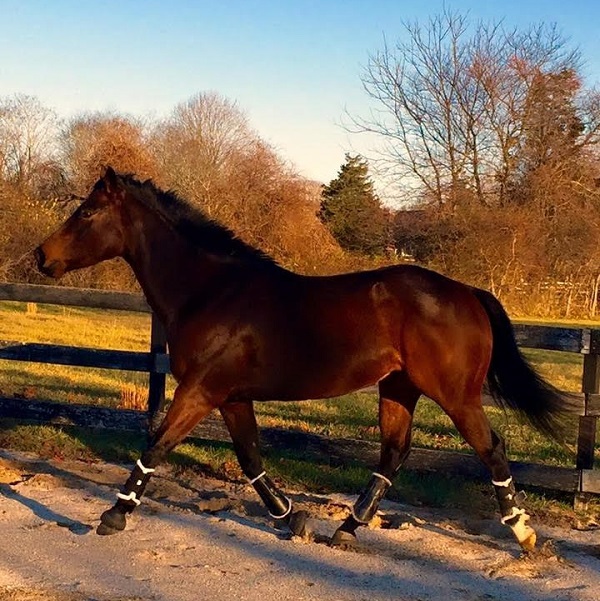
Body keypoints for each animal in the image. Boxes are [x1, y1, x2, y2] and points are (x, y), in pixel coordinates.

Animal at [34, 166, 572, 552]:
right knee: (394, 453)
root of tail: (467, 293)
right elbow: (250, 457)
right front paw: (293, 518)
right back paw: (347, 529)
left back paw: (524, 535)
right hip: (398, 387)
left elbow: (156, 445)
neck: (210, 291)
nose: (41, 256)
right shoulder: (230, 397)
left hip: (455, 395)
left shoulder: (200, 390)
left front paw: (113, 515)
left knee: (491, 449)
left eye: (87, 212)